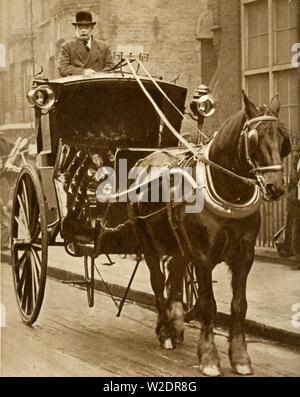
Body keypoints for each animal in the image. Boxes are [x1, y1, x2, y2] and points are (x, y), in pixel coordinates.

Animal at [132, 91, 290, 376]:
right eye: (253, 138)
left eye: (284, 139)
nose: (276, 187)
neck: (229, 192)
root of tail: (144, 159)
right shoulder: (202, 256)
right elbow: (209, 304)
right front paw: (208, 357)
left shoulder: (244, 255)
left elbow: (239, 305)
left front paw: (240, 357)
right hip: (147, 241)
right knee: (158, 282)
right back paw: (165, 331)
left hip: (180, 244)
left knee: (175, 275)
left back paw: (176, 322)